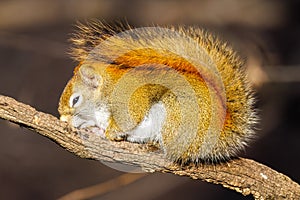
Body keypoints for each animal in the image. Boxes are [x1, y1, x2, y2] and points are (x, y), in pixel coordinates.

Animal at [57, 21, 256, 163]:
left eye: (75, 100)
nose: (63, 120)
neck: (107, 89)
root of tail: (221, 131)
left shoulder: (129, 97)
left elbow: (128, 117)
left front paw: (108, 133)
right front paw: (94, 130)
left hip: (176, 114)